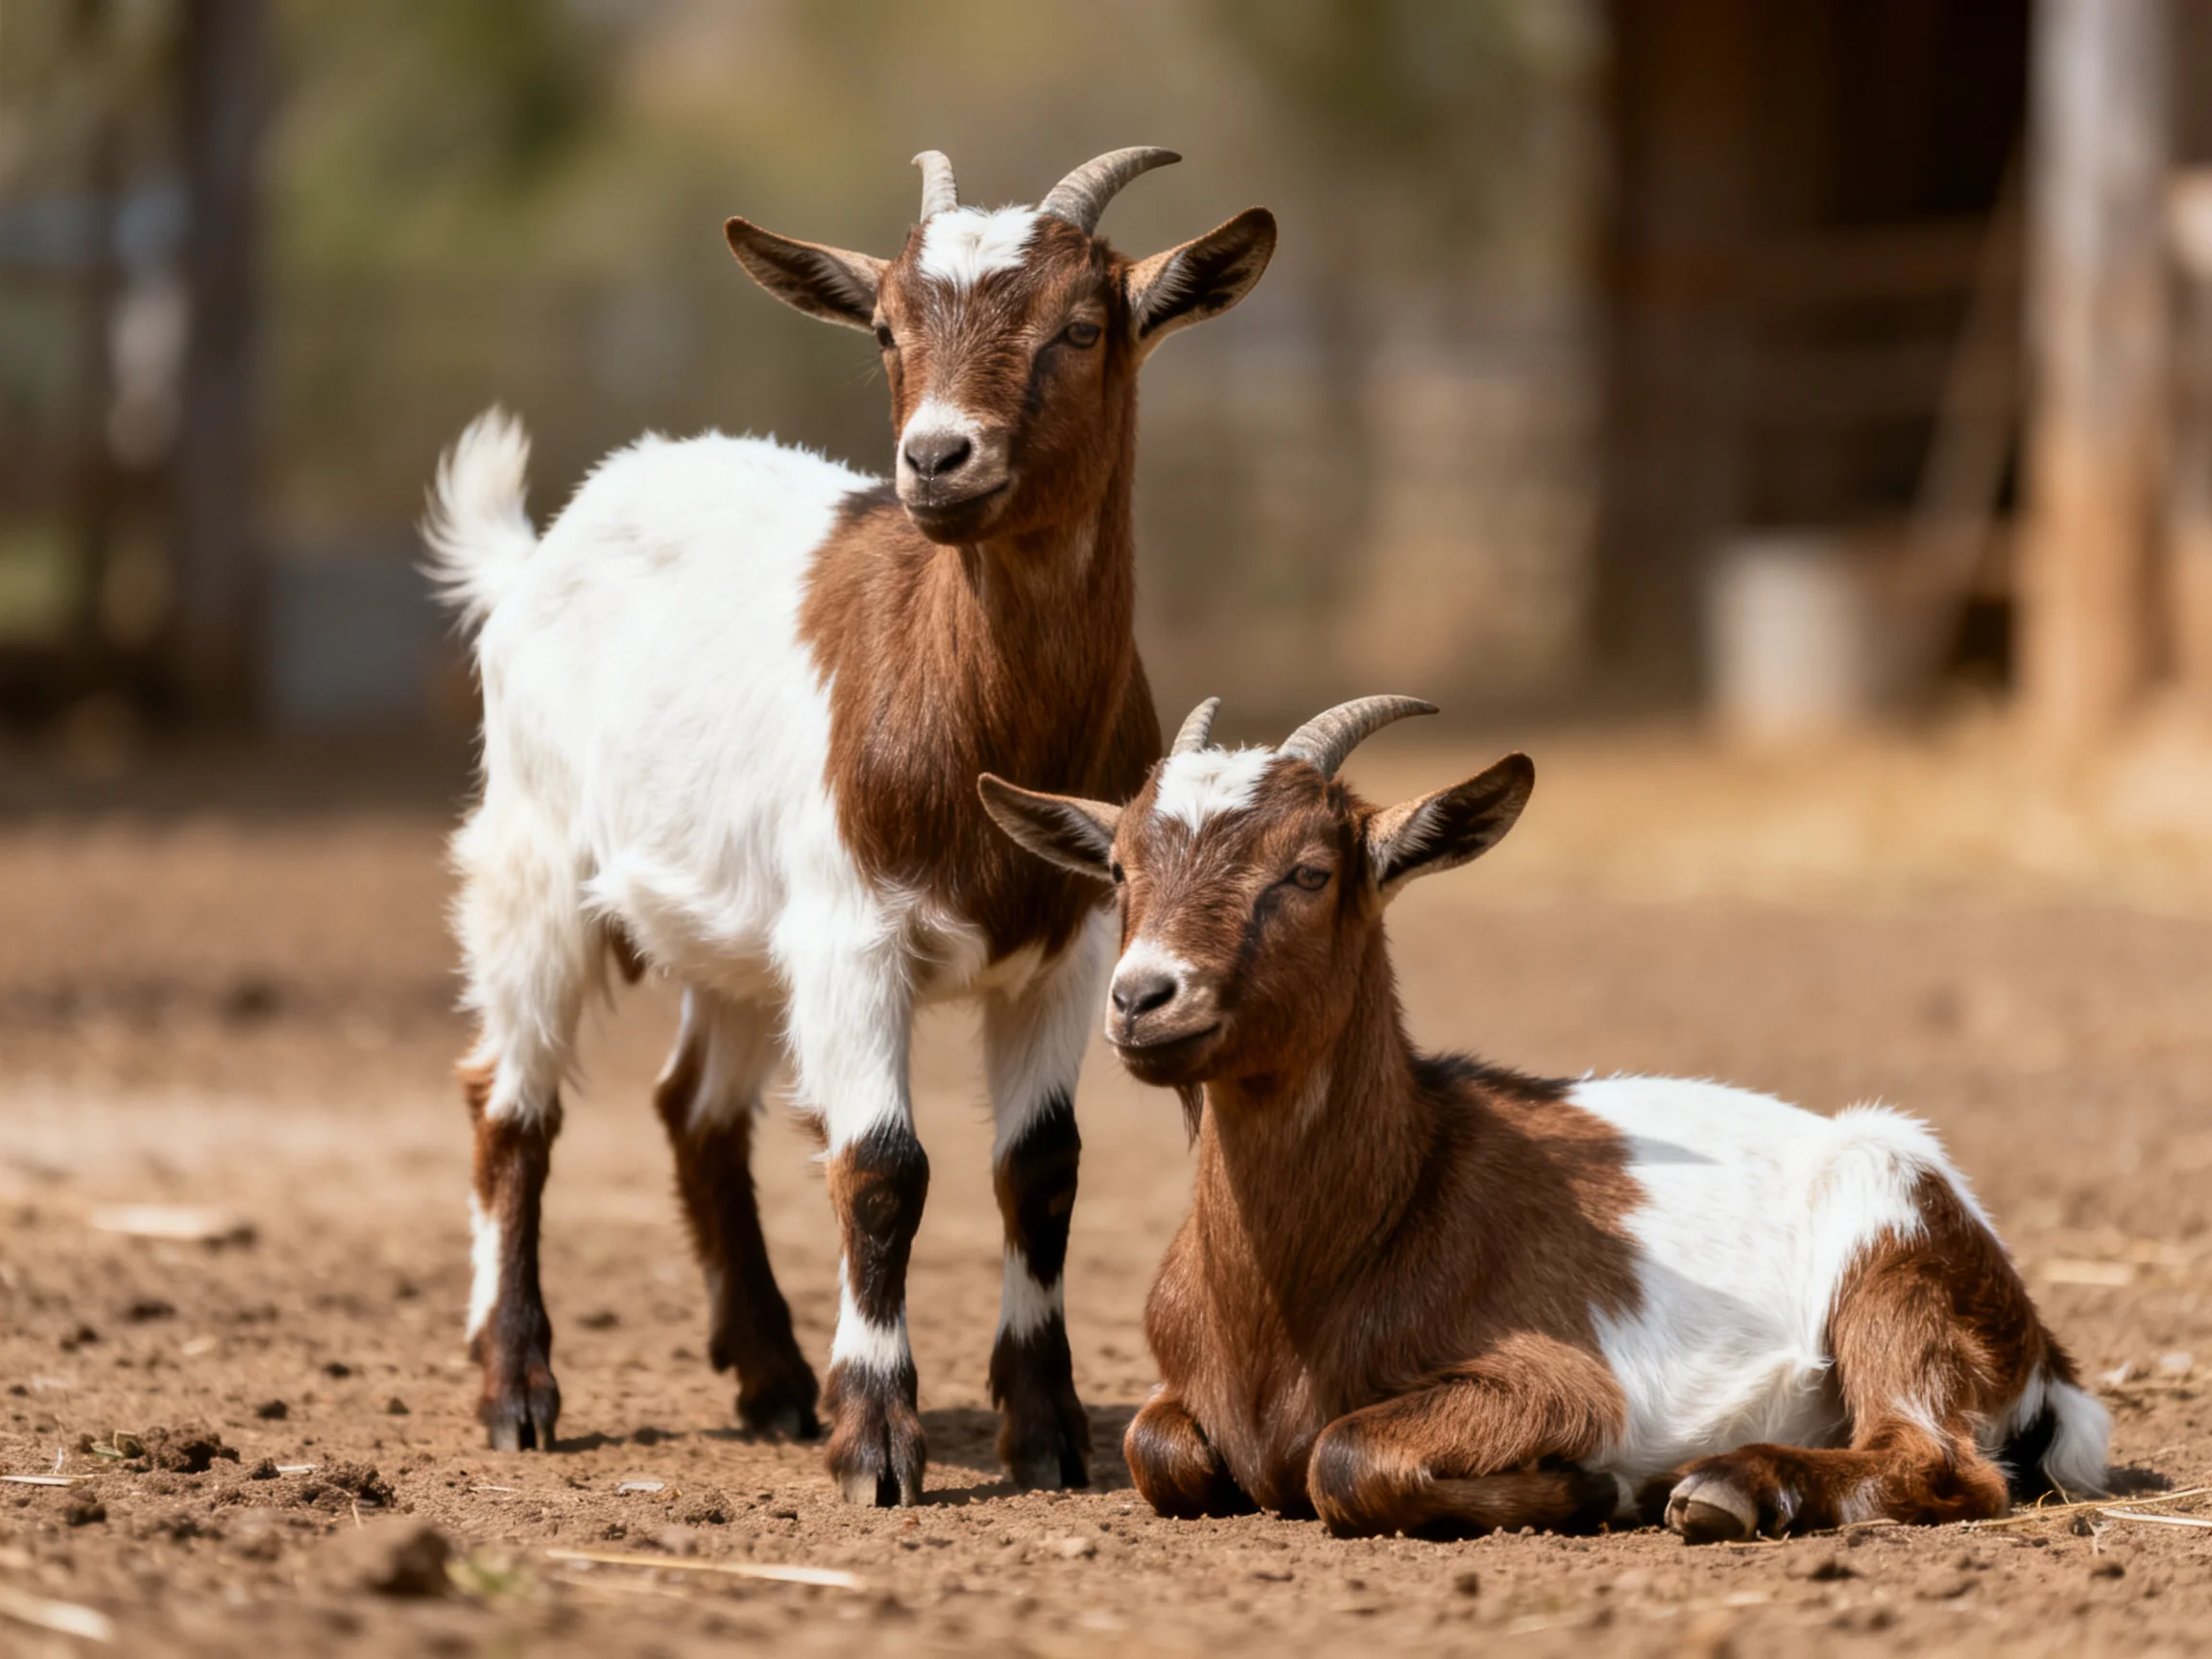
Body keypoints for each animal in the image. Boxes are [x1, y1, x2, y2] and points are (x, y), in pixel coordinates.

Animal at [422, 149, 1276, 1506]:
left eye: (1082, 328)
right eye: (884, 328)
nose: (937, 460)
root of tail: (539, 549)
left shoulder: (1071, 947)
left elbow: (1041, 1169)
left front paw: (1046, 1435)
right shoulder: (852, 934)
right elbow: (881, 1165)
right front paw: (877, 1443)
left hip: (727, 928)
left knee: (693, 1110)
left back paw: (771, 1380)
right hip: (533, 861)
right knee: (511, 1109)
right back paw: (518, 1392)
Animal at [978, 697, 2112, 1541]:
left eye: (1308, 871)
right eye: (1117, 869)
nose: (1142, 999)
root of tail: (2043, 1348)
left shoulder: (1561, 1381)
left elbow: (1343, 1455)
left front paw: (1589, 1487)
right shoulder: (1175, 1396)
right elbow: (1157, 1451)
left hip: (1893, 1237)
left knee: (1940, 1460)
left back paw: (1725, 1486)